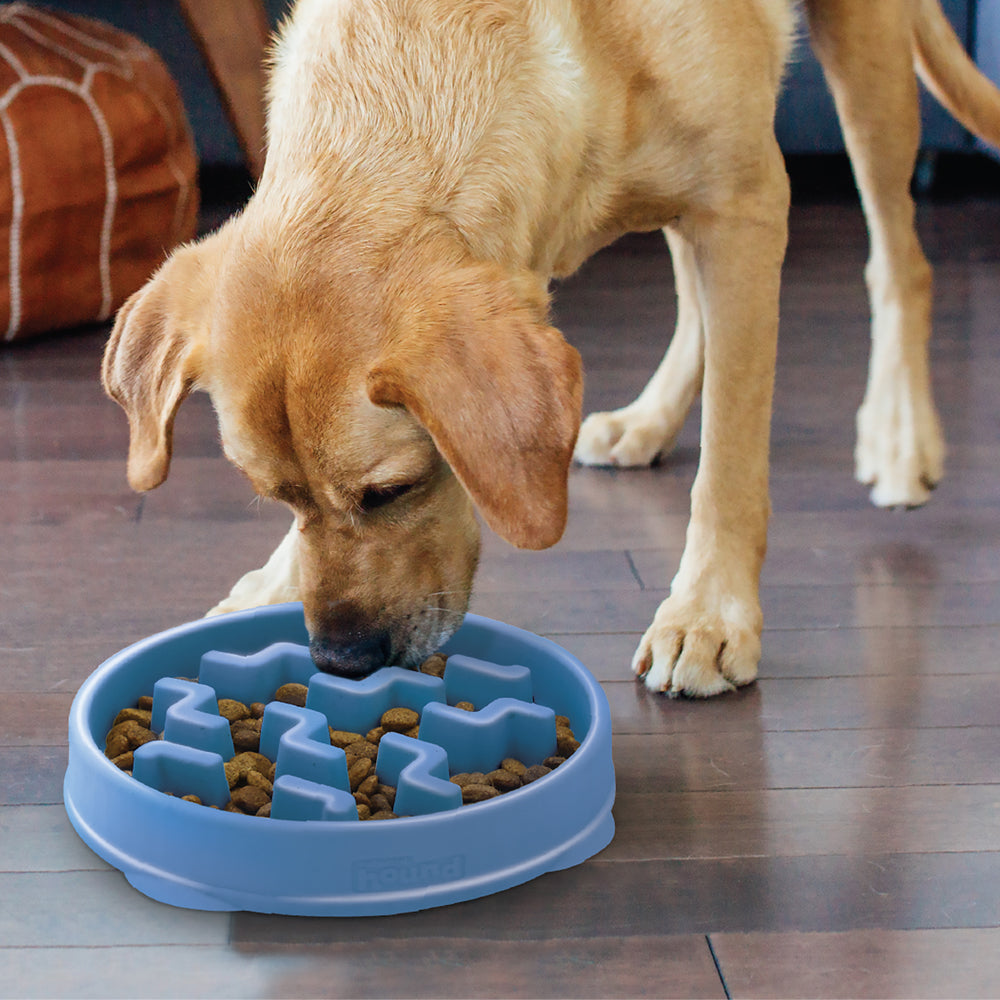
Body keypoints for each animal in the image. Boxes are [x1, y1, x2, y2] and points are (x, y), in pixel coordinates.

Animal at [99, 0, 1000, 696]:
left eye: (392, 492)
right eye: (275, 496)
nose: (341, 661)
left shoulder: (745, 200)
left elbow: (732, 461)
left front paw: (709, 613)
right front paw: (277, 580)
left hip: (862, 66)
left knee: (900, 261)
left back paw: (899, 436)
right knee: (696, 298)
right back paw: (649, 420)